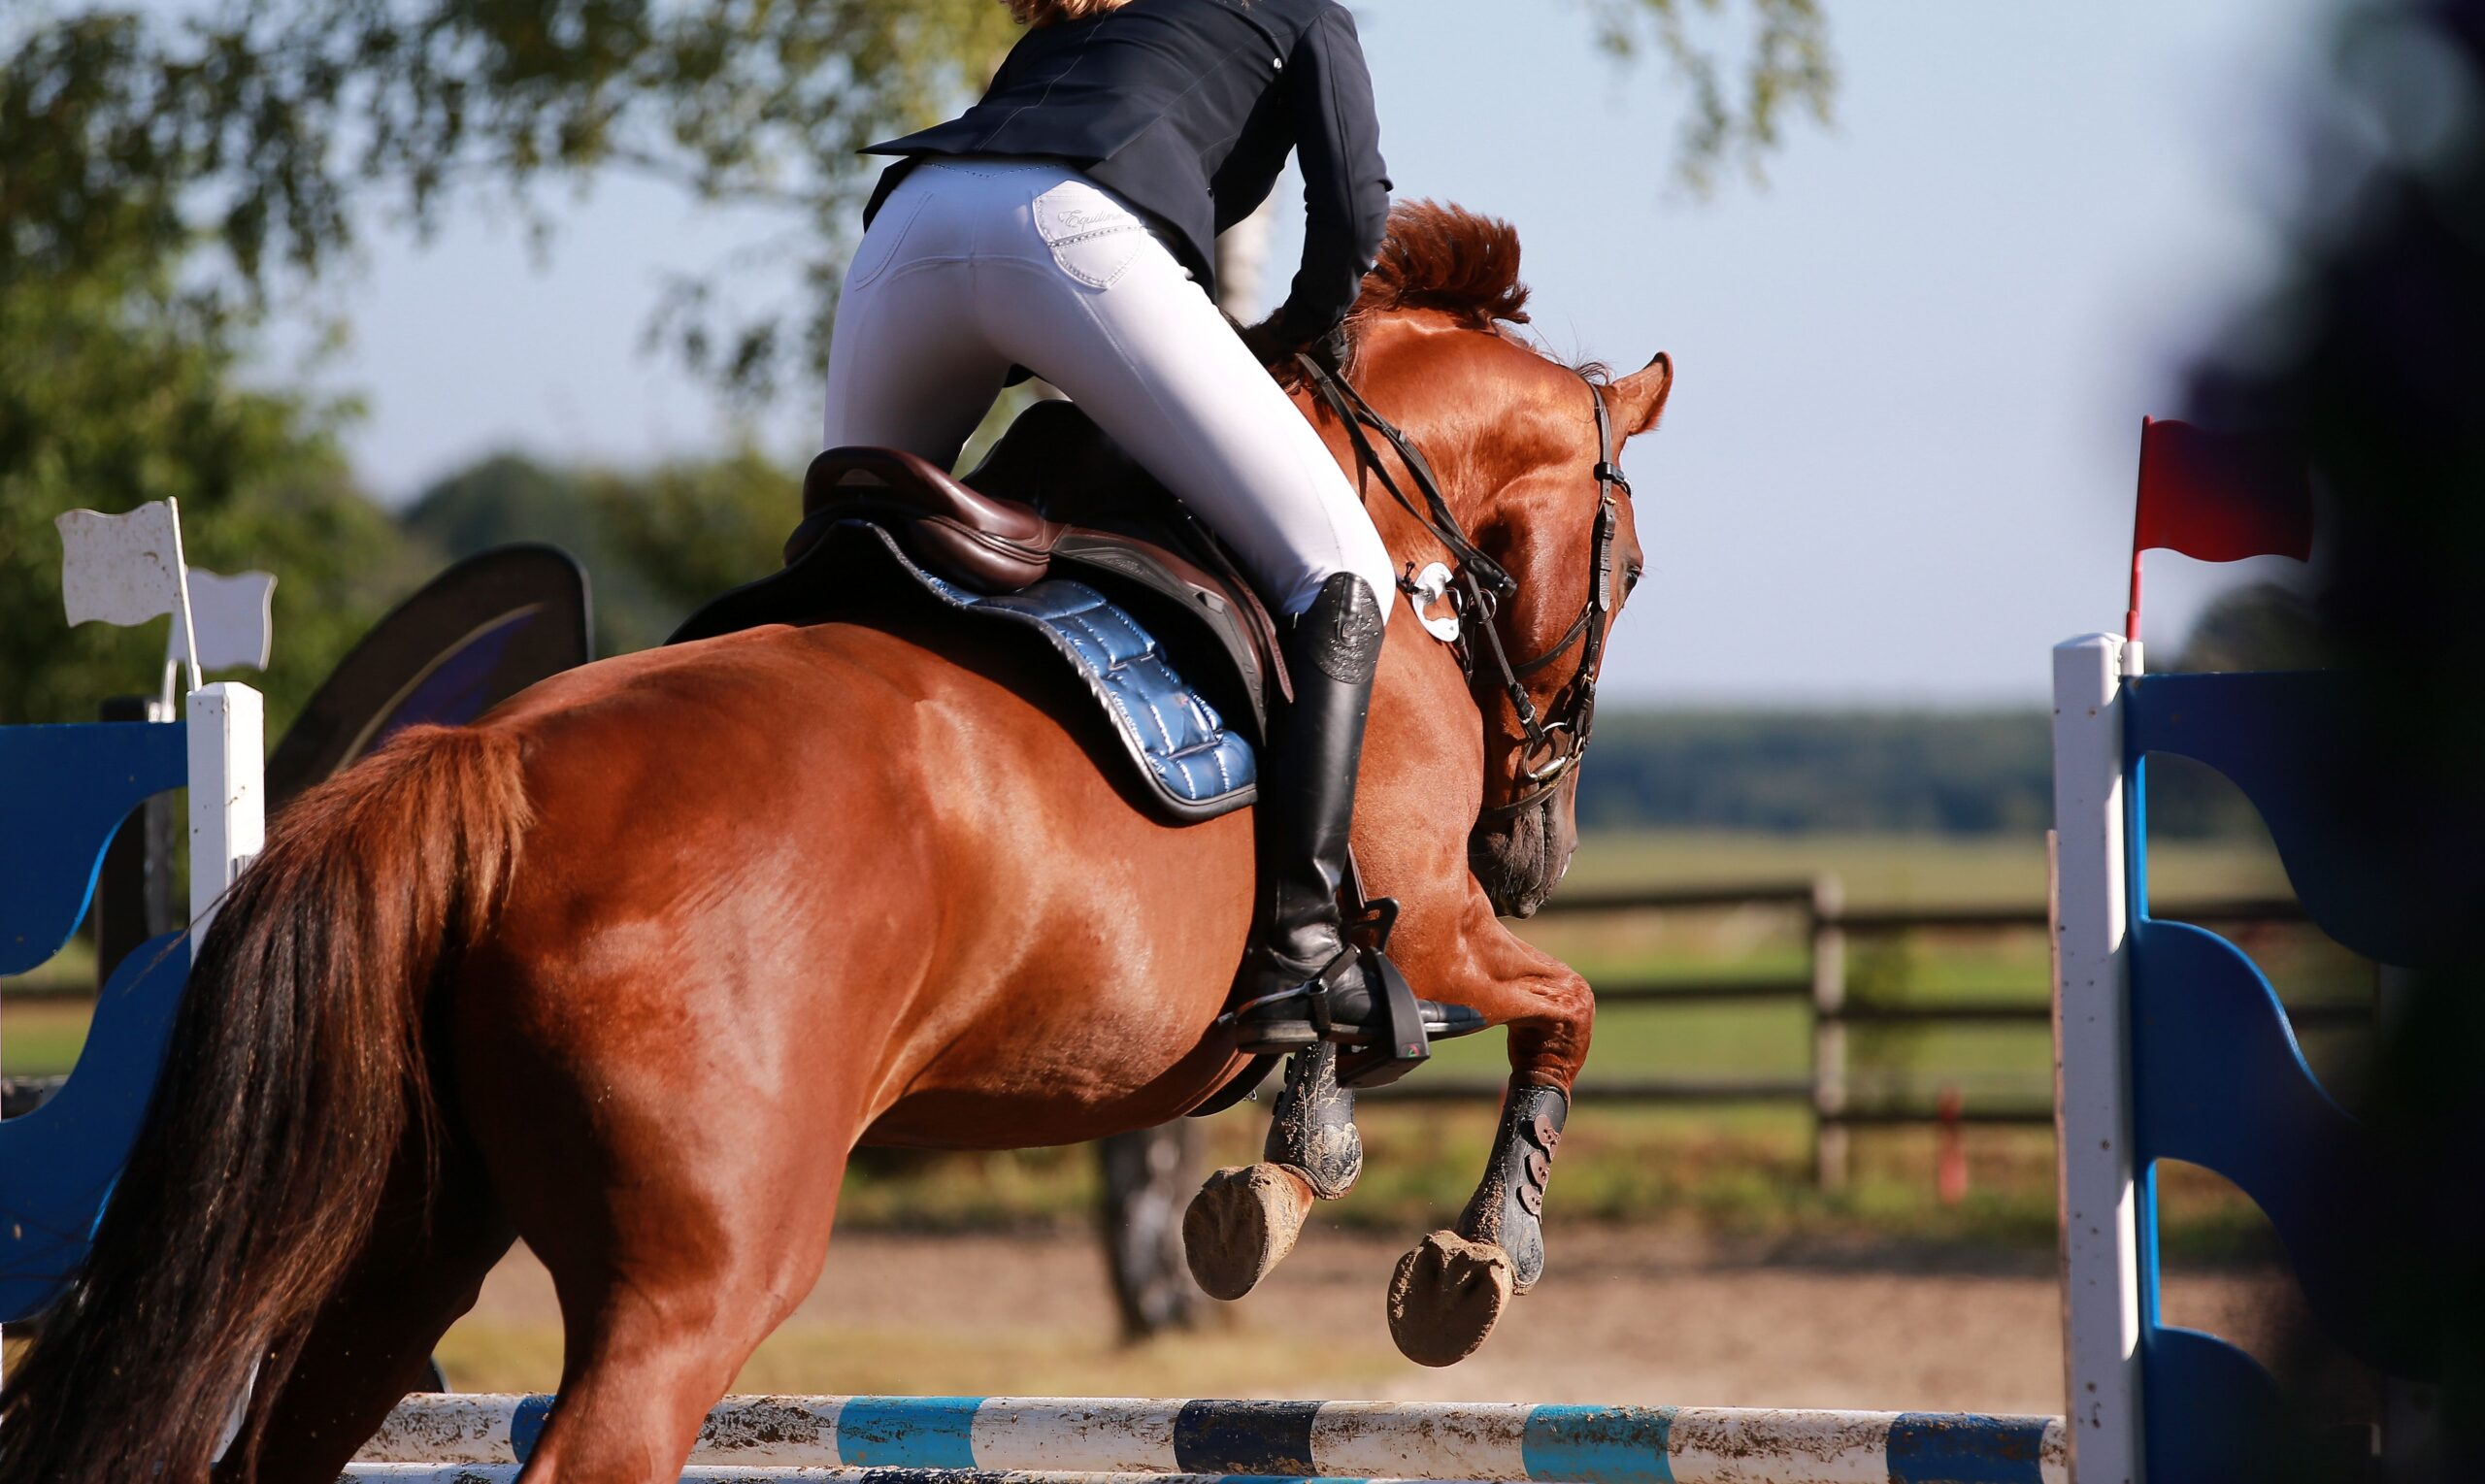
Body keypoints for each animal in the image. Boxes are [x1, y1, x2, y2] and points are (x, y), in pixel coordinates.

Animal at [0, 201, 1672, 1484]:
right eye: (1635, 568)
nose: (1539, 847)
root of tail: (487, 771)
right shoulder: (1435, 917)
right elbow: (1560, 1006)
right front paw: (1476, 1258)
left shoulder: (1396, 935)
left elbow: (1363, 1045)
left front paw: (1281, 1177)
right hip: (696, 1276)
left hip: (407, 1234)